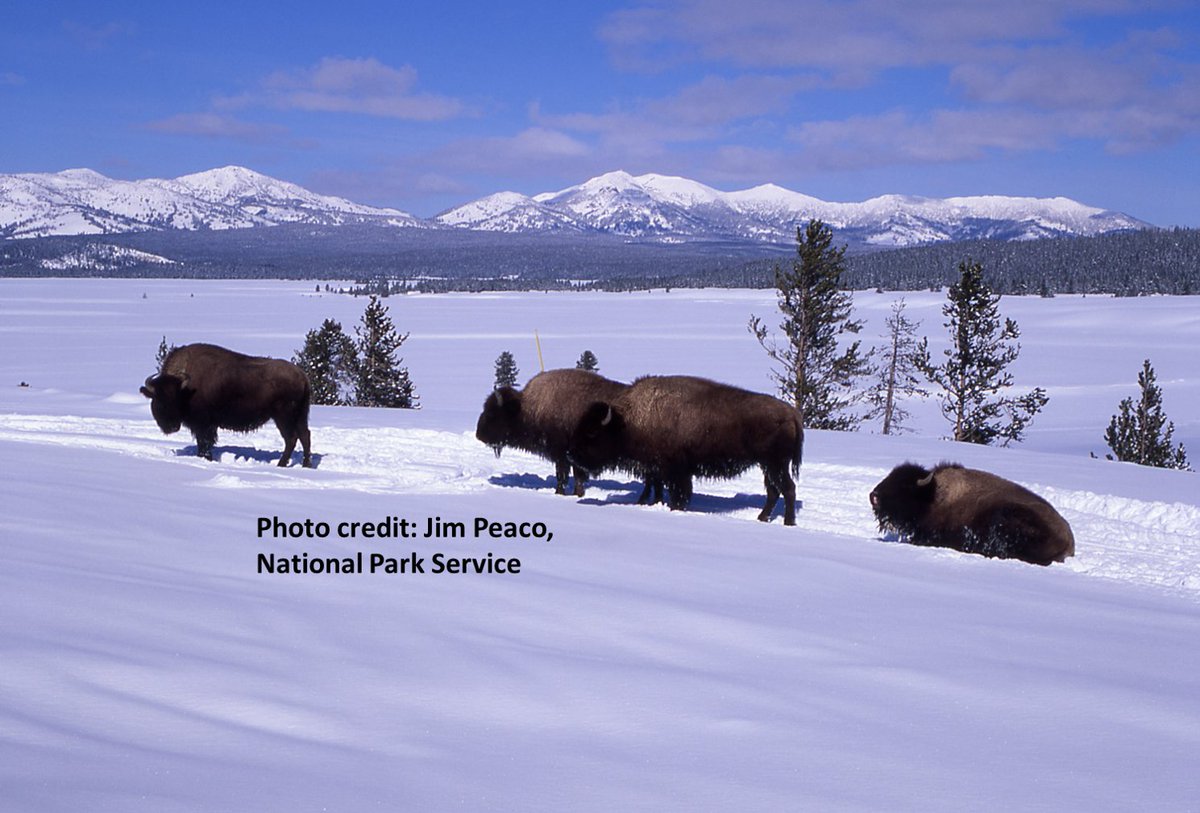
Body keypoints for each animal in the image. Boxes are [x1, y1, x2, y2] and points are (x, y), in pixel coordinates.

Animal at [141, 343, 312, 467]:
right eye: (158, 399)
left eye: (175, 398)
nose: (172, 427)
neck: (186, 389)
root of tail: (302, 376)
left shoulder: (204, 425)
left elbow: (204, 443)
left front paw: (206, 458)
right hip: (301, 415)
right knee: (305, 435)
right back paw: (306, 465)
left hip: (283, 417)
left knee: (291, 438)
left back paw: (281, 464)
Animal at [568, 375, 803, 525]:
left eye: (592, 432)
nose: (571, 455)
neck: (626, 421)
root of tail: (791, 413)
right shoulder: (658, 469)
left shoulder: (676, 472)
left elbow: (678, 494)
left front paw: (674, 508)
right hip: (767, 465)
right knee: (773, 491)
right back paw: (762, 518)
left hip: (775, 464)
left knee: (787, 488)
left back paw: (788, 522)